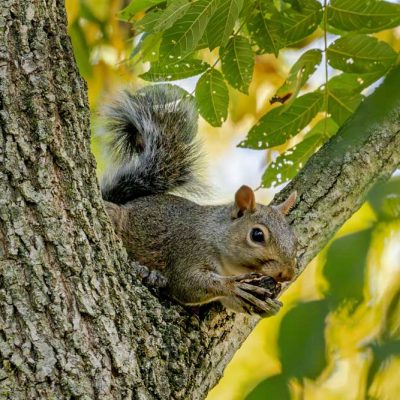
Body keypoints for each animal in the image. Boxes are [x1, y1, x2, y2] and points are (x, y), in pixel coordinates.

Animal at [101, 86, 298, 318]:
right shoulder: (189, 250)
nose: (287, 274)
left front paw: (267, 306)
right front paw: (232, 286)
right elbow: (187, 284)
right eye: (257, 235)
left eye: (296, 240)